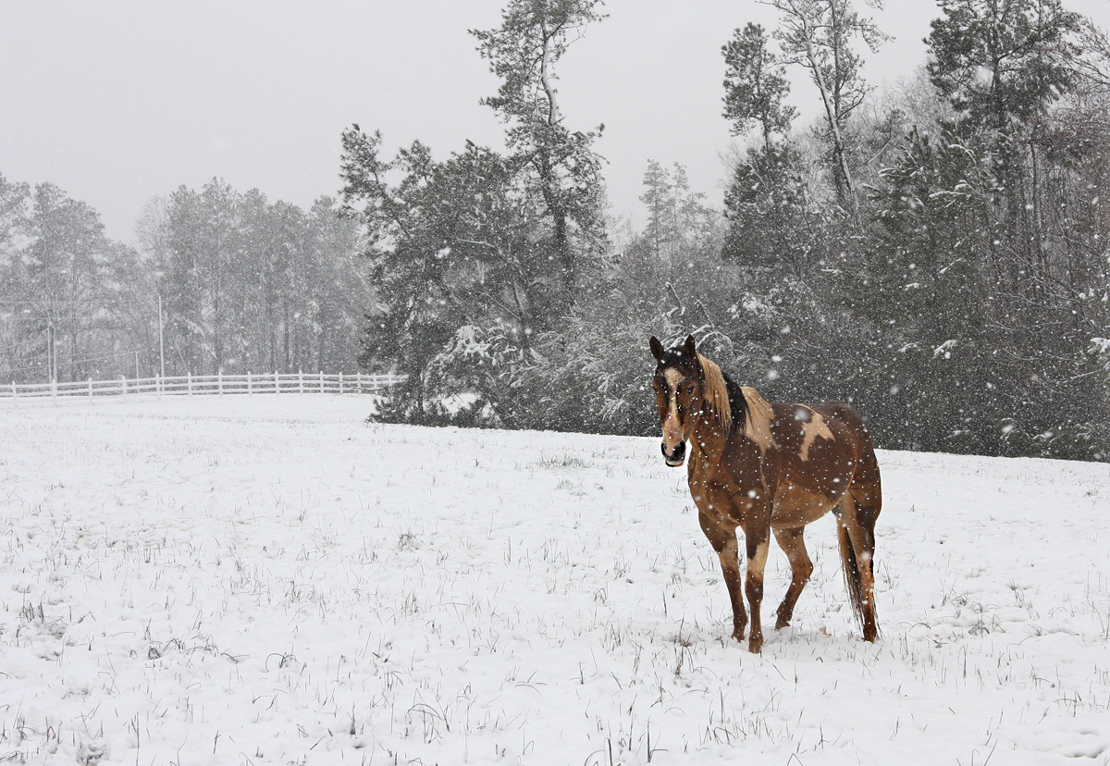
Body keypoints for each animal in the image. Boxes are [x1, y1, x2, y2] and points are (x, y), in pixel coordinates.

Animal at [648, 333, 879, 648]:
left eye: (691, 386)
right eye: (656, 386)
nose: (673, 449)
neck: (727, 445)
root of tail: (854, 422)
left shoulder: (756, 522)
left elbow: (753, 585)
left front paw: (754, 644)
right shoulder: (715, 525)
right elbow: (733, 581)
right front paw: (737, 635)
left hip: (859, 517)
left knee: (866, 575)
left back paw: (870, 635)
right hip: (788, 527)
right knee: (803, 568)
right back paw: (782, 623)